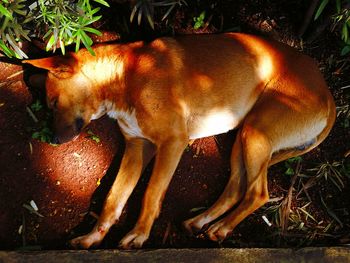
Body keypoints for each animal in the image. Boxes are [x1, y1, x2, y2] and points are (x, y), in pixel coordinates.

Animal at [23, 33, 334, 250]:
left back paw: (223, 229)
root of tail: (329, 97)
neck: (126, 76)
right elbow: (114, 198)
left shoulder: (172, 142)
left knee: (258, 193)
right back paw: (202, 221)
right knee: (236, 188)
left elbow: (150, 194)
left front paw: (138, 236)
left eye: (53, 102)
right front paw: (92, 238)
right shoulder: (137, 148)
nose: (53, 140)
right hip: (243, 139)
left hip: (255, 133)